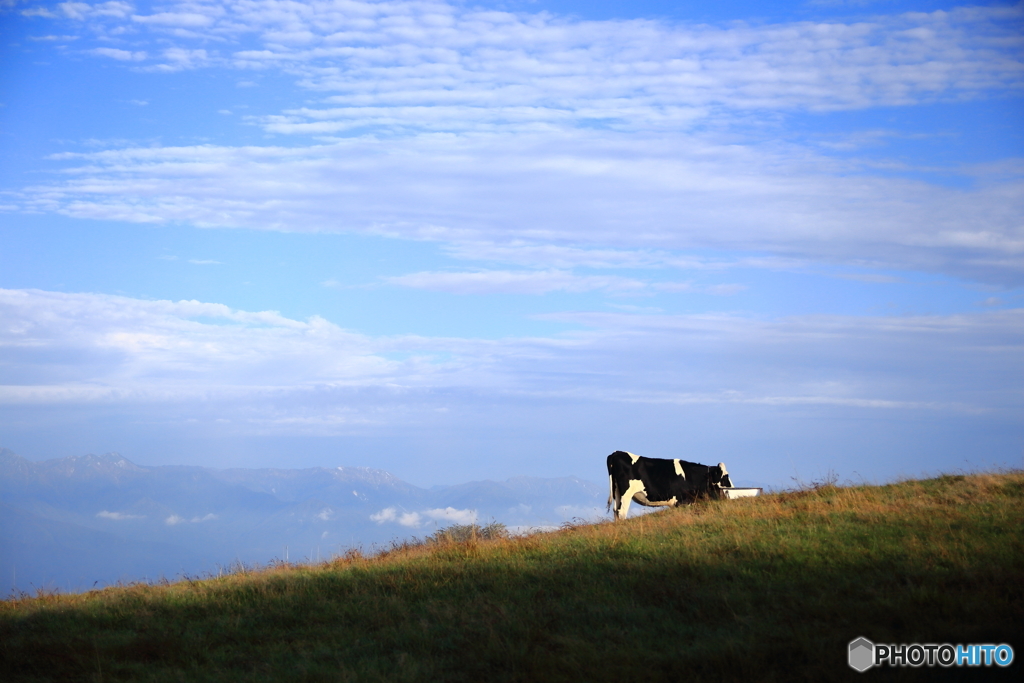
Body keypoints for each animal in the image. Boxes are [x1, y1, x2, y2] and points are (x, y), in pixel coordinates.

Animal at [602, 450, 733, 520]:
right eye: (725, 477)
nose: (732, 491)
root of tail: (616, 453)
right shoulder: (683, 501)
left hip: (617, 492)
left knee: (616, 512)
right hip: (626, 494)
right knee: (621, 512)